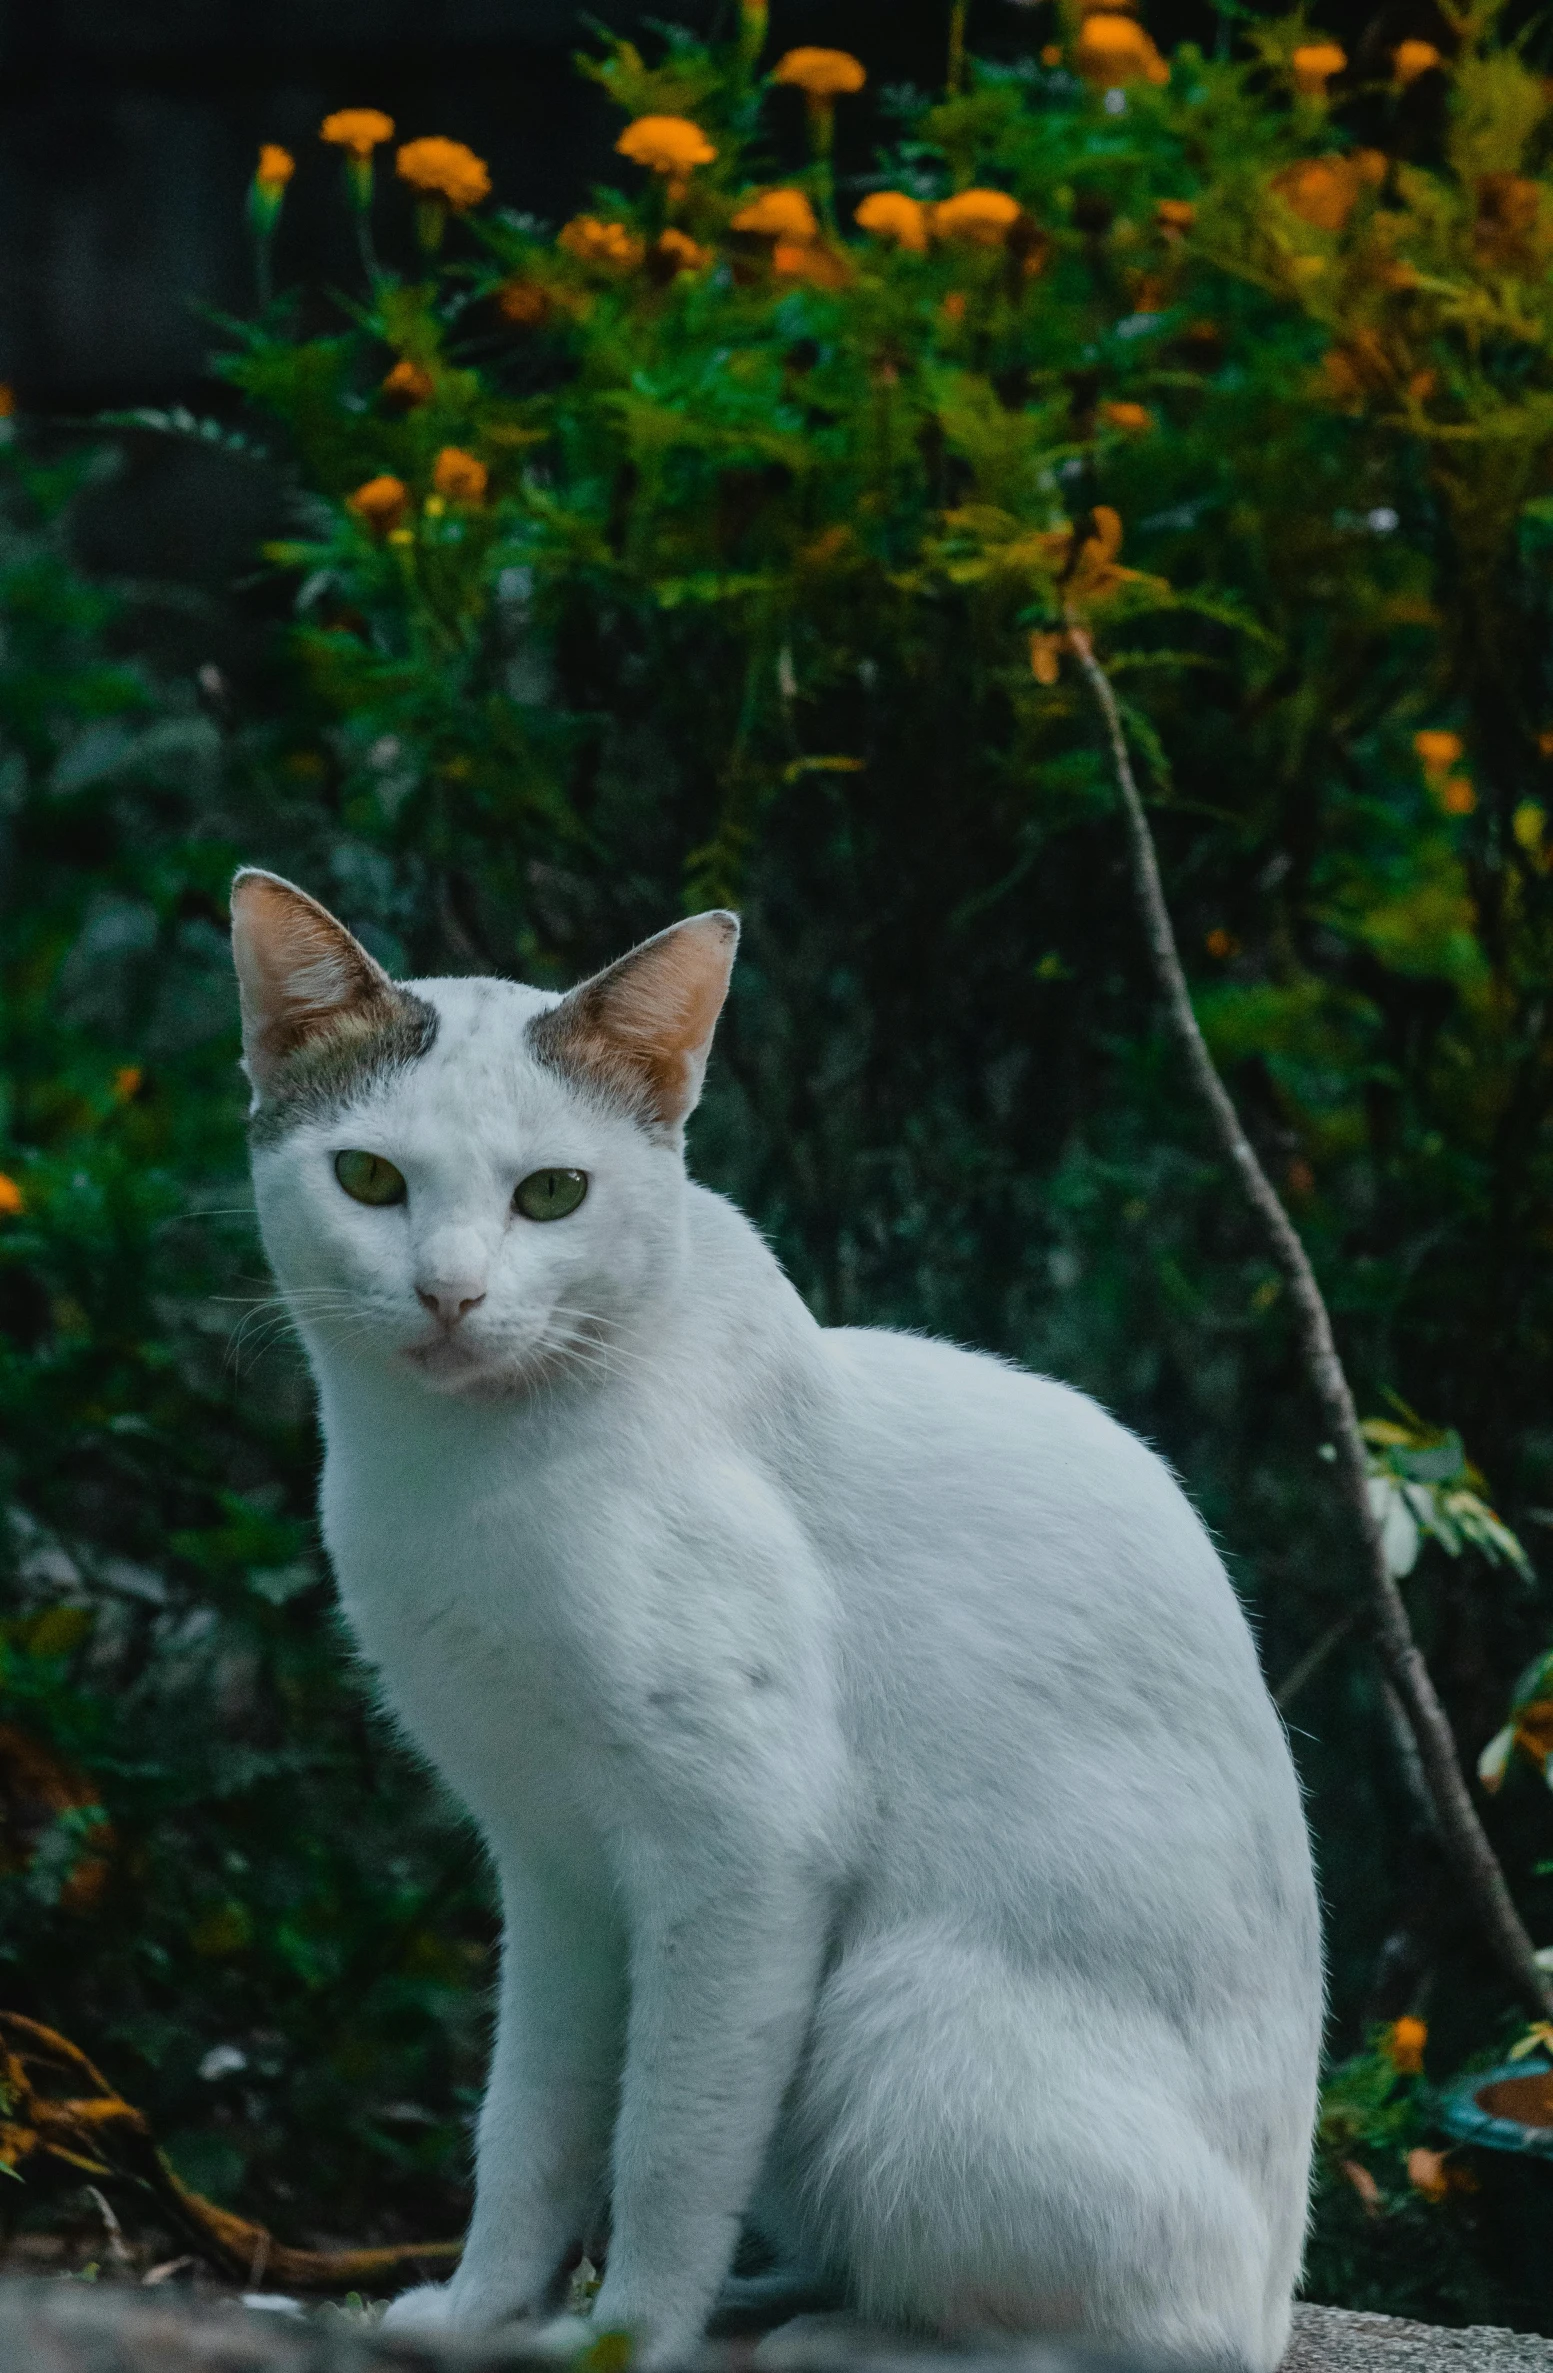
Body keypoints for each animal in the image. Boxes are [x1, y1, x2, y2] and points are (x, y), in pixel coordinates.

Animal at [233, 873, 1329, 2373]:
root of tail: (1277, 2288)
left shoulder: (743, 1854)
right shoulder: (554, 1869)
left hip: (889, 2016)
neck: (458, 1480)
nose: (450, 1294)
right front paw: (480, 2315)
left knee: (1144, 2337)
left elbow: (666, 2146)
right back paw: (780, 2297)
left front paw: (622, 2340)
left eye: (552, 1194)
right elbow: (531, 2121)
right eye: (370, 1180)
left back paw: (843, 2334)